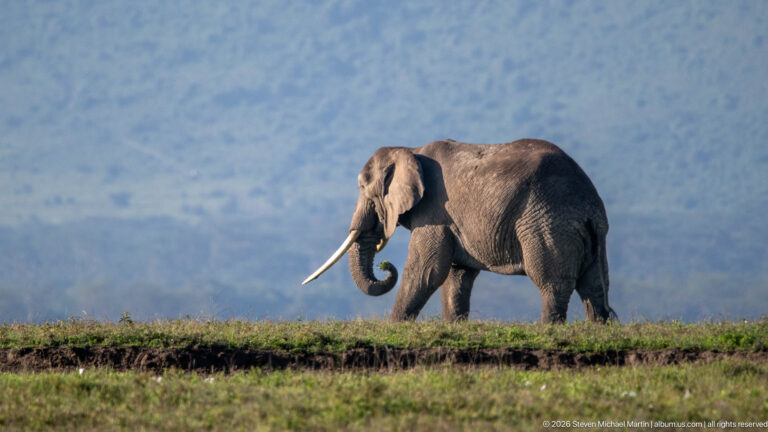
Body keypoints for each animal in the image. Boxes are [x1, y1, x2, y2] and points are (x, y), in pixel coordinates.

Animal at [303, 139, 617, 323]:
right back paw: (595, 329)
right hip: (588, 234)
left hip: (546, 225)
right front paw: (454, 327)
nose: (385, 265)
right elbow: (455, 275)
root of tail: (589, 206)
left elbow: (427, 269)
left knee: (552, 283)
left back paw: (548, 330)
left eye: (362, 187)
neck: (411, 151)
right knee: (594, 286)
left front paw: (393, 328)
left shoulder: (435, 210)